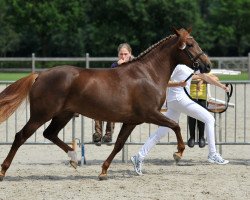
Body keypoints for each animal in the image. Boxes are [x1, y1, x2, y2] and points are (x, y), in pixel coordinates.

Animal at [0, 27, 211, 180]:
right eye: (190, 44)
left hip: (63, 115)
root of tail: (40, 75)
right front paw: (179, 153)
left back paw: (74, 158)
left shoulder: (132, 121)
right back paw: (3, 171)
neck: (148, 74)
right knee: (21, 136)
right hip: (41, 114)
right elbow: (175, 125)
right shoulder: (150, 114)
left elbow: (118, 144)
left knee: (49, 134)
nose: (207, 65)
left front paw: (103, 171)